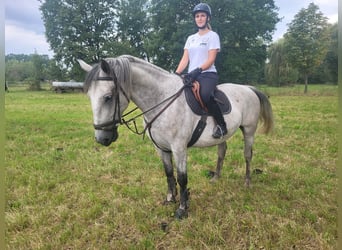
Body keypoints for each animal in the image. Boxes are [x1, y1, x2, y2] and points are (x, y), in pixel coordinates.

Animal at [77, 55, 272, 219]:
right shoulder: (161, 148)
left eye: (108, 97)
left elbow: (182, 178)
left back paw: (247, 182)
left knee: (247, 155)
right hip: (222, 137)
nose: (102, 138)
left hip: (249, 130)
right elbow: (169, 173)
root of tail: (248, 88)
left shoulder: (179, 148)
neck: (160, 100)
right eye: (89, 96)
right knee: (222, 152)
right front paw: (170, 199)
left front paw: (182, 209)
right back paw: (216, 178)